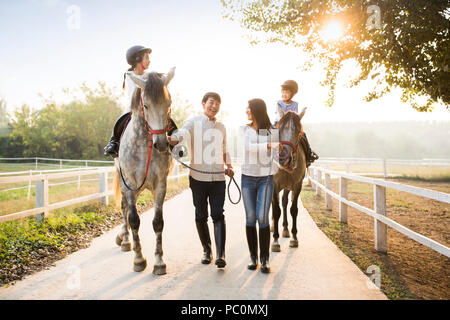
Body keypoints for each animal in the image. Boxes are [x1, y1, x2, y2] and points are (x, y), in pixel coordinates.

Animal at [113, 68, 175, 276]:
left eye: (168, 103)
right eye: (146, 106)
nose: (162, 144)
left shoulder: (160, 185)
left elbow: (158, 222)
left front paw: (159, 262)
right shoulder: (130, 184)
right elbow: (133, 220)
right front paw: (139, 259)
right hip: (125, 184)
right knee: (124, 208)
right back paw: (125, 240)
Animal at [268, 110, 308, 252]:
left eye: (298, 131)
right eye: (279, 129)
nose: (285, 158)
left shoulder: (297, 185)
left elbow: (293, 210)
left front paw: (294, 238)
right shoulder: (274, 185)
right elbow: (276, 210)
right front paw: (275, 241)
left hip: (287, 186)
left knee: (284, 202)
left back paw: (285, 229)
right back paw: (273, 226)